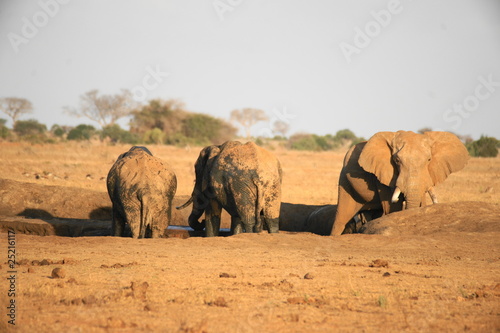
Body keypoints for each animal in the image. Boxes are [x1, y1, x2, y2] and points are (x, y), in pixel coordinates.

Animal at [332, 128, 468, 235]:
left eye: (429, 160)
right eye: (396, 160)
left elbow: (421, 201)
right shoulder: (383, 175)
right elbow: (392, 207)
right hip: (345, 180)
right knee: (341, 218)